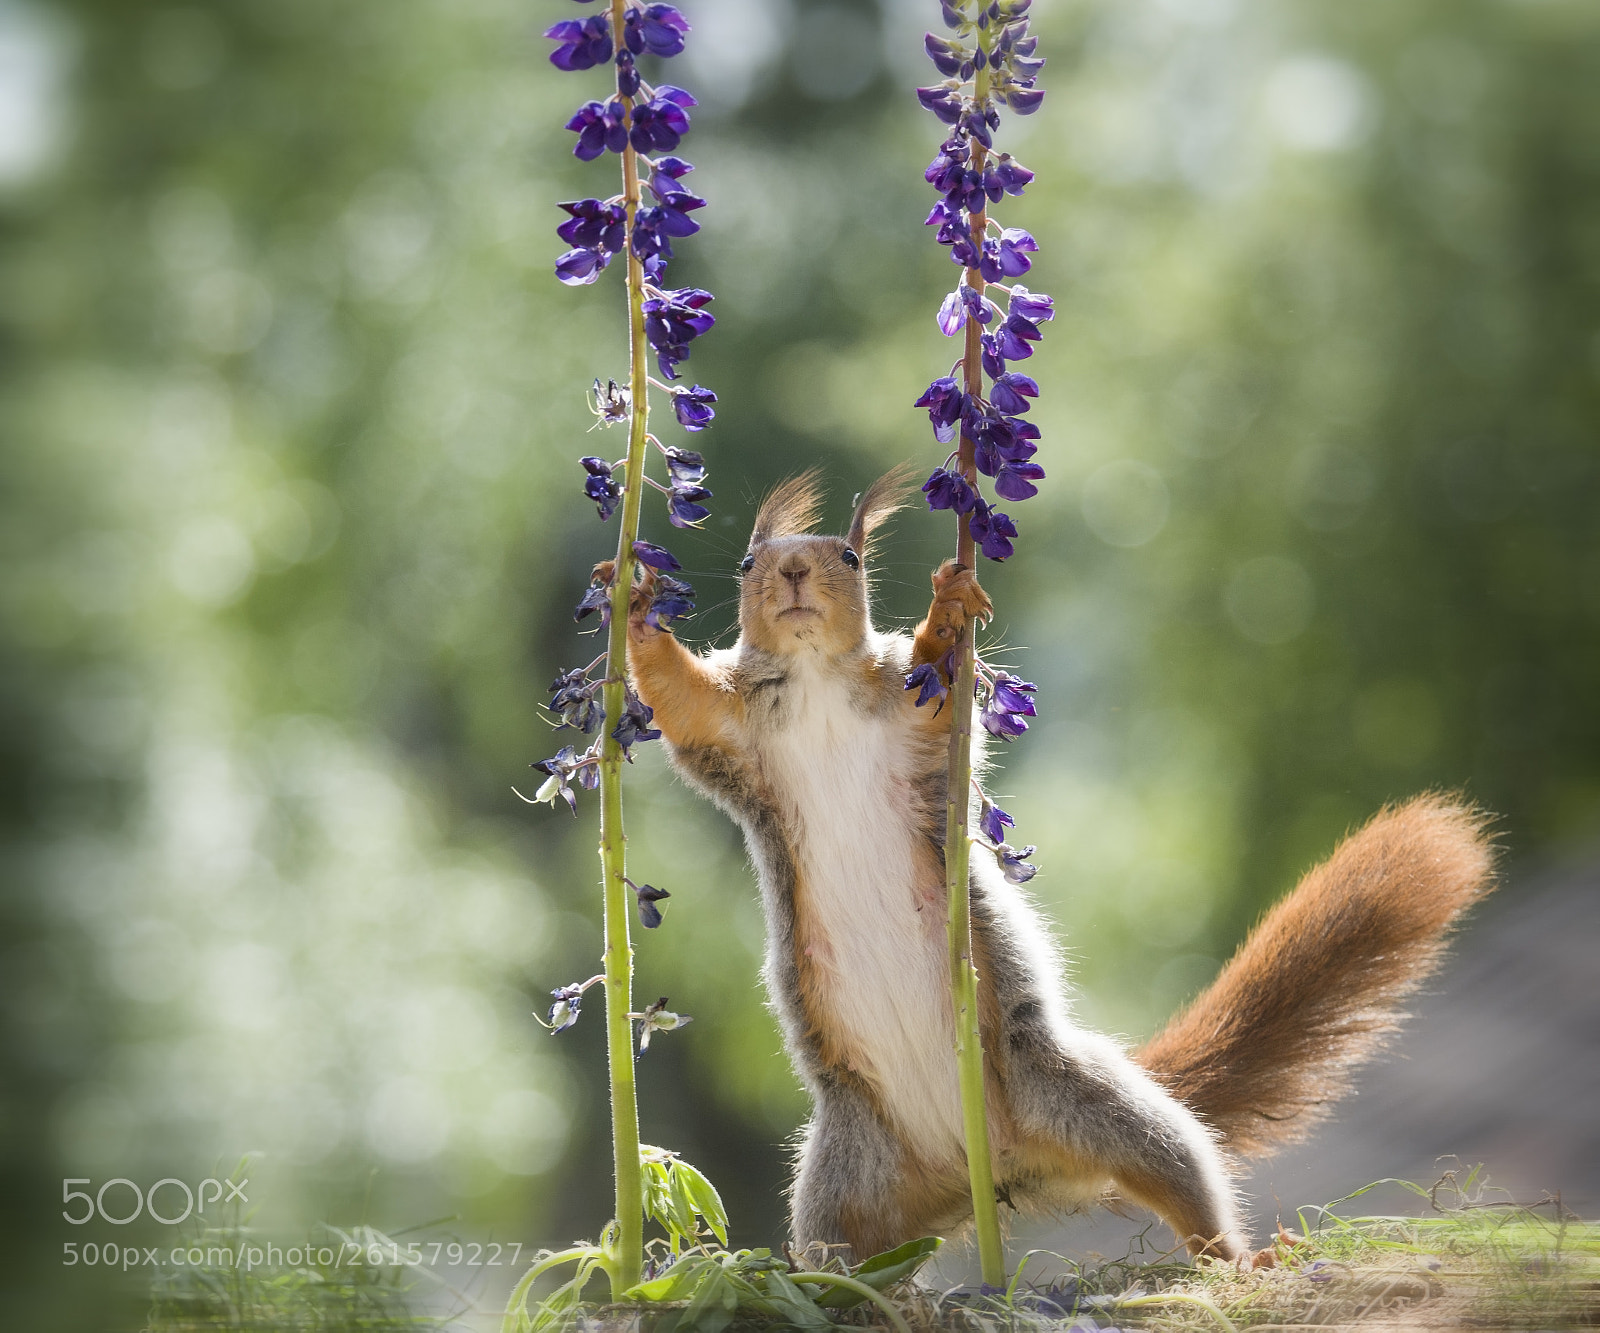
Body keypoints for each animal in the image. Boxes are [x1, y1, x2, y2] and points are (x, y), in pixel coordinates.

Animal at [624, 468, 1495, 1265]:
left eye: (848, 556)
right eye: (747, 563)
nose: (796, 571)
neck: (812, 679)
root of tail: (992, 1176)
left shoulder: (913, 713)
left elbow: (939, 684)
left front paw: (949, 601)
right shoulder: (729, 729)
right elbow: (677, 693)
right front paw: (634, 602)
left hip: (1084, 1104)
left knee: (1182, 1175)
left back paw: (1243, 1254)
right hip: (847, 1171)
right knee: (849, 1254)